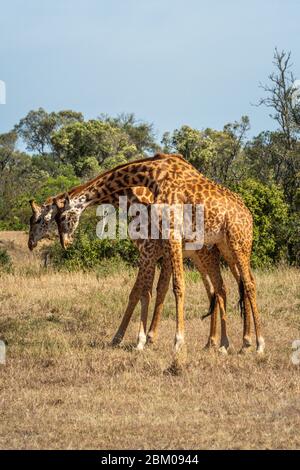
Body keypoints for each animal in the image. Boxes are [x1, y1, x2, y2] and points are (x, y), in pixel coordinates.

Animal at [27, 152, 264, 358]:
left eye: (42, 219)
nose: (65, 242)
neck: (150, 177)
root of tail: (249, 216)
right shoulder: (155, 249)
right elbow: (148, 291)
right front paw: (139, 338)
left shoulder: (158, 243)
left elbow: (163, 289)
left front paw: (167, 342)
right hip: (223, 250)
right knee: (223, 288)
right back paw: (225, 343)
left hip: (236, 244)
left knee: (247, 284)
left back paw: (256, 344)